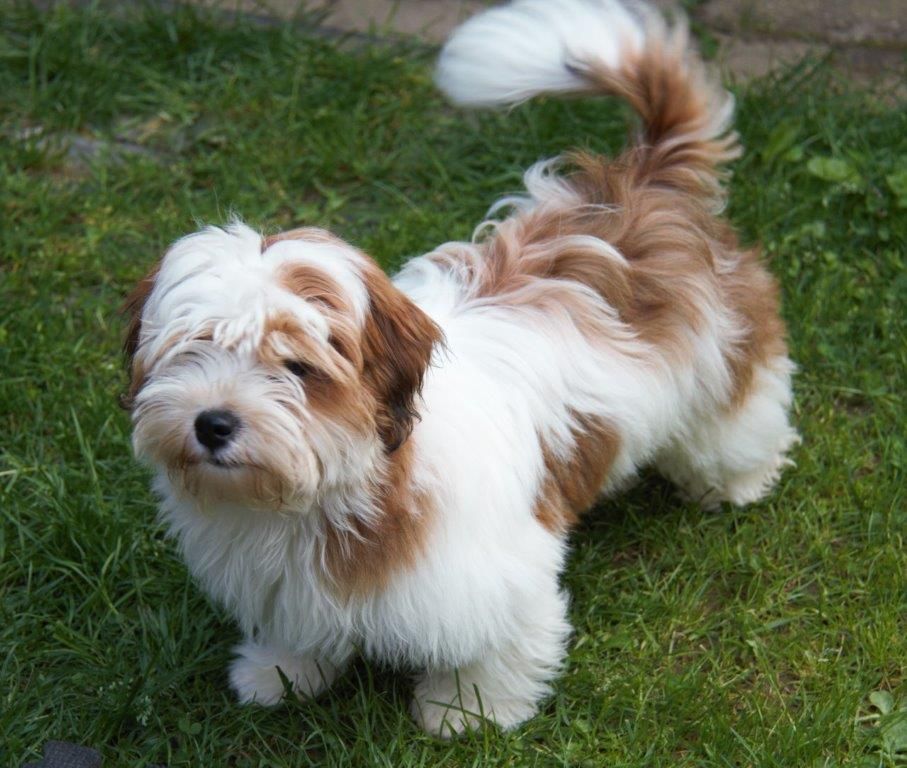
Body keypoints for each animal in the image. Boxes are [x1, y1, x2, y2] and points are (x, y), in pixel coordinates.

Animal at [124, 0, 798, 736]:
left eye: (297, 367)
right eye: (191, 349)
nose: (212, 424)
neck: (338, 492)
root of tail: (645, 178)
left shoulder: (491, 573)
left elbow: (494, 644)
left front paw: (465, 709)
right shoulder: (285, 581)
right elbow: (296, 629)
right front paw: (280, 672)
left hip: (722, 360)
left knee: (737, 417)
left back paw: (738, 482)